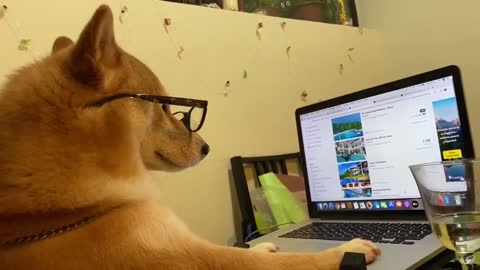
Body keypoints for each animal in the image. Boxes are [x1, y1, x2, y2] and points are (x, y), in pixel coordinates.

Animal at [0, 4, 380, 270]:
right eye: (166, 106)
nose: (207, 147)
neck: (68, 213)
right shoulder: (186, 256)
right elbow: (282, 261)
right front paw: (345, 251)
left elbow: (245, 252)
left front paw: (263, 244)